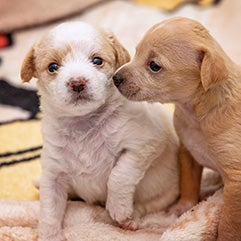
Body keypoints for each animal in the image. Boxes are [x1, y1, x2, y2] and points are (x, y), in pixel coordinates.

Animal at [114, 17, 241, 241]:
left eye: (154, 65)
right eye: (136, 52)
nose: (114, 78)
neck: (195, 114)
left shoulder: (236, 182)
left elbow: (229, 222)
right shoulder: (187, 152)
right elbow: (188, 184)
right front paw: (182, 208)